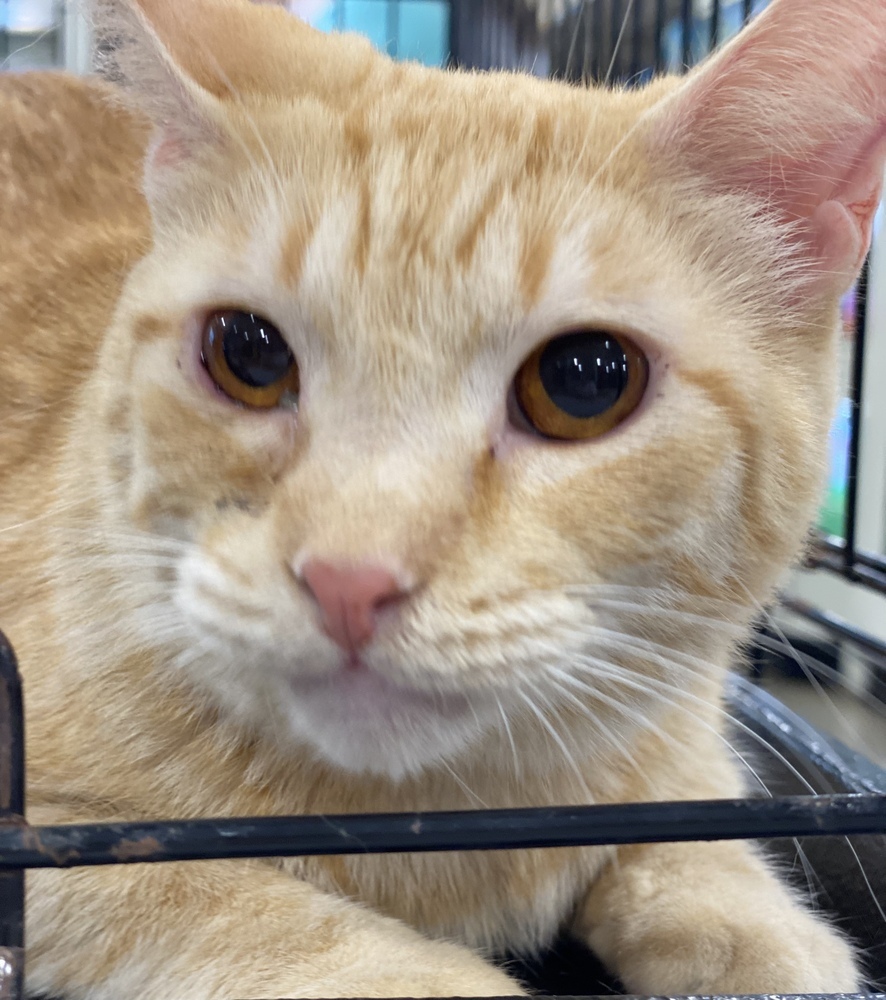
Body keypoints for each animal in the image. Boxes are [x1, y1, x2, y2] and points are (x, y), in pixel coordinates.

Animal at [0, 0, 884, 996]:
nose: (349, 579)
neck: (440, 824)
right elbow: (241, 911)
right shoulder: (57, 852)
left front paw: (757, 922)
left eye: (585, 381)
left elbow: (694, 812)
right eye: (247, 355)